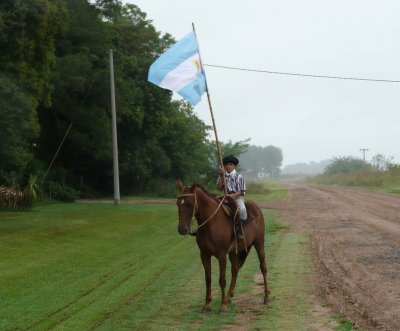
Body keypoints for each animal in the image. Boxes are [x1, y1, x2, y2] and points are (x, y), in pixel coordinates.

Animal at [177, 182, 270, 314]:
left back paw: (266, 297)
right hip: (233, 252)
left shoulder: (221, 255)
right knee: (235, 269)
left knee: (263, 268)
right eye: (178, 203)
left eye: (190, 204)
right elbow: (208, 278)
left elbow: (222, 280)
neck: (211, 223)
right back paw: (229, 296)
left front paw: (223, 307)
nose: (182, 229)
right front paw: (207, 304)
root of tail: (256, 208)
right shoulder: (204, 255)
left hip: (259, 243)